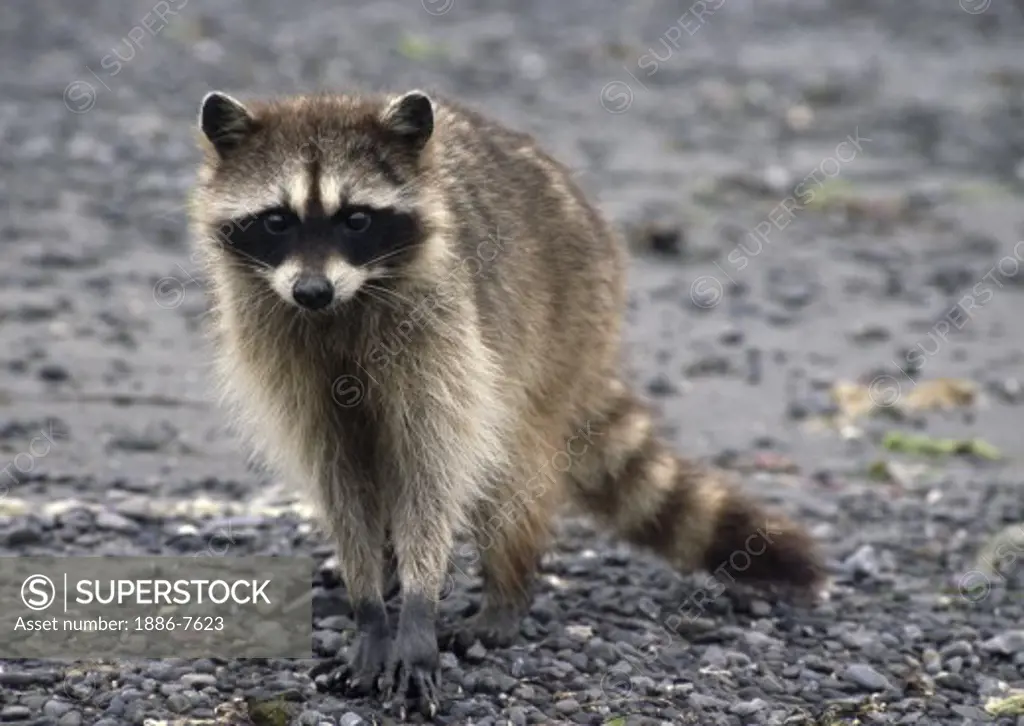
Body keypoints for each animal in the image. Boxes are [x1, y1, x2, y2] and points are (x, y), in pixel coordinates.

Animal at [184, 89, 823, 712]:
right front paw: (369, 602)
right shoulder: (285, 353)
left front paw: (417, 606)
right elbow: (339, 480)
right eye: (276, 220)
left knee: (512, 472)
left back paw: (504, 594)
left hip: (563, 322)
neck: (343, 305)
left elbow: (435, 470)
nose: (311, 290)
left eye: (356, 219)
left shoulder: (441, 334)